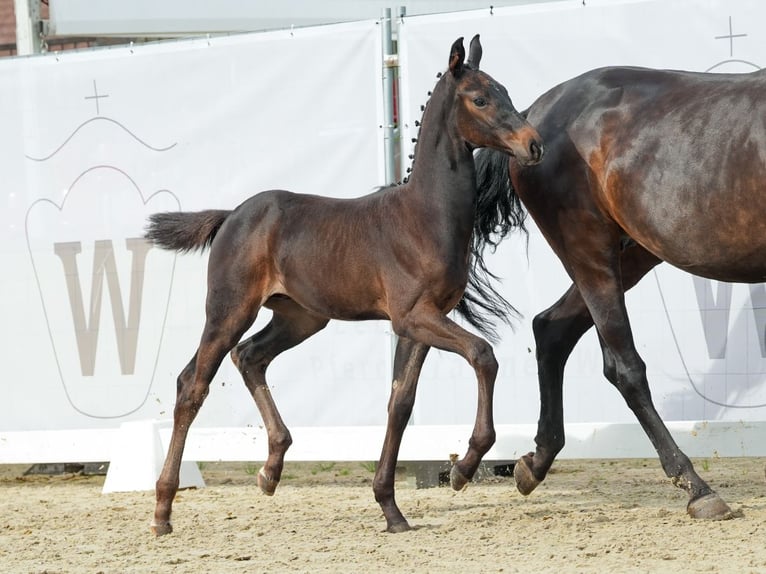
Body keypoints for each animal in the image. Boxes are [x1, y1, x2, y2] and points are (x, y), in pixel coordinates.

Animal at [146, 36, 544, 536]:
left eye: (506, 91)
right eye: (481, 99)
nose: (534, 145)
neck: (423, 216)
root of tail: (231, 215)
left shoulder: (420, 323)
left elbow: (400, 403)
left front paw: (391, 509)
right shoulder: (413, 316)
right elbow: (483, 355)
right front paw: (463, 468)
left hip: (300, 318)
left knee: (250, 357)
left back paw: (270, 470)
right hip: (229, 310)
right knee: (192, 384)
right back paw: (163, 510)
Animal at [476, 65, 764, 520]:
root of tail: (531, 117)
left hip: (634, 252)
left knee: (552, 328)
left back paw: (533, 464)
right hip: (589, 250)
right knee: (624, 367)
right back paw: (698, 490)